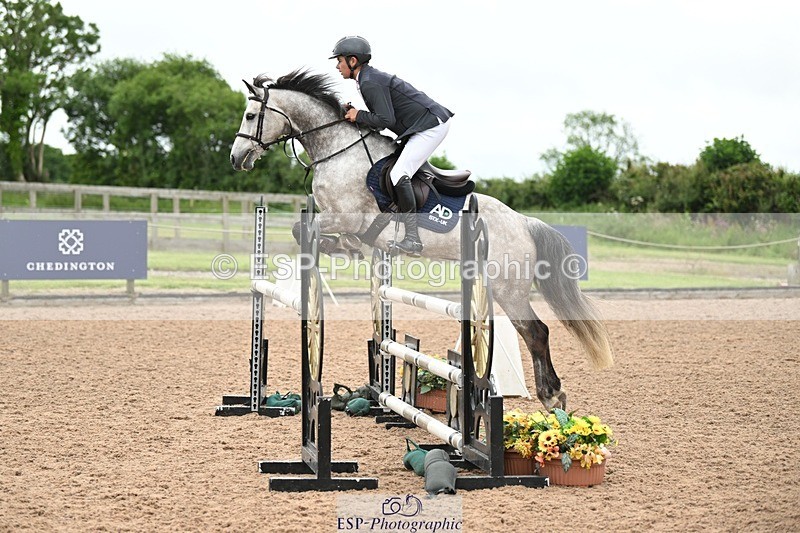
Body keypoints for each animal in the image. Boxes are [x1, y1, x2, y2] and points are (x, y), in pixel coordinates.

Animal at [229, 69, 613, 410]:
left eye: (250, 115)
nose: (236, 158)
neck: (338, 150)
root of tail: (523, 222)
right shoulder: (350, 224)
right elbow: (324, 236)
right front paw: (344, 248)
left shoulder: (346, 216)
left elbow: (302, 230)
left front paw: (333, 246)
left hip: (508, 287)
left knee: (535, 331)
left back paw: (552, 396)